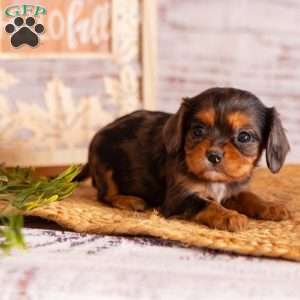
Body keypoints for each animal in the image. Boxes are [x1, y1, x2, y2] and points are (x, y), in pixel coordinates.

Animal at [77, 87, 290, 232]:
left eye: (244, 137)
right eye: (198, 131)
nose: (213, 155)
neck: (216, 182)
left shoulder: (233, 190)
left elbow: (250, 196)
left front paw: (271, 207)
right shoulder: (179, 197)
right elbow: (207, 203)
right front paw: (229, 216)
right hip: (104, 165)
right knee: (105, 194)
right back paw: (129, 200)